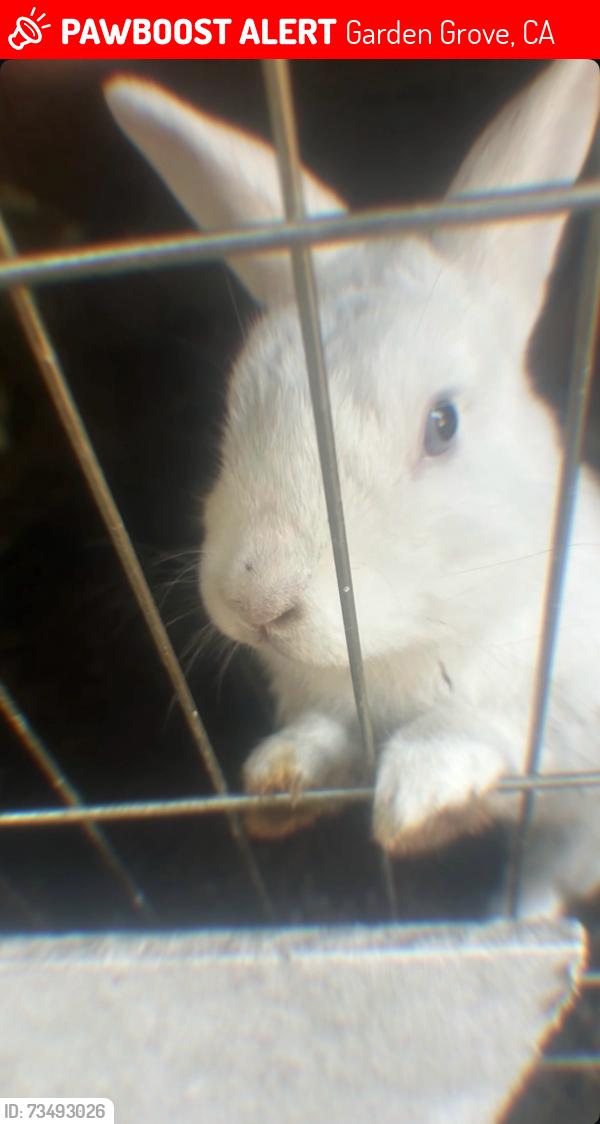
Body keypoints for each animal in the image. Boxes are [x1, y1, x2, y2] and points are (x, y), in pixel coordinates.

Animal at [105, 61, 600, 918]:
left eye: (443, 423)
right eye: (237, 405)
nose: (257, 601)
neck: (404, 651)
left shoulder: (561, 713)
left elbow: (492, 726)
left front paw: (421, 796)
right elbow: (326, 735)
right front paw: (280, 779)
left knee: (552, 874)